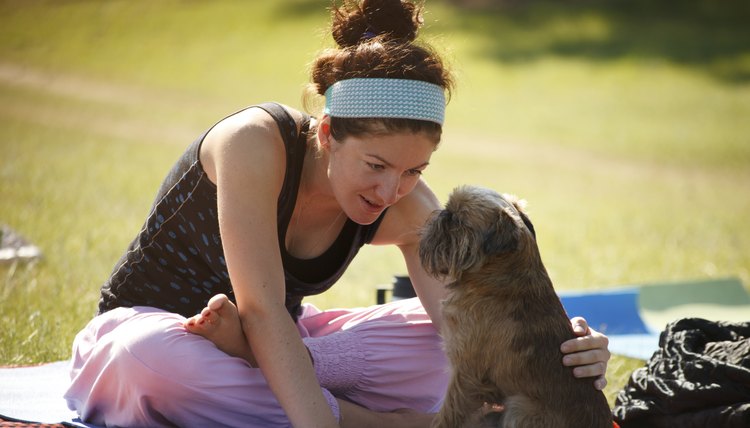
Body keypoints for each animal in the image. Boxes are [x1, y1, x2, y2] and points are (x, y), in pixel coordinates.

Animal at [420, 186, 612, 428]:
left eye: (458, 219)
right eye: (449, 210)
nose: (443, 214)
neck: (496, 277)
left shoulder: (466, 374)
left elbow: (449, 415)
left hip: (520, 406)